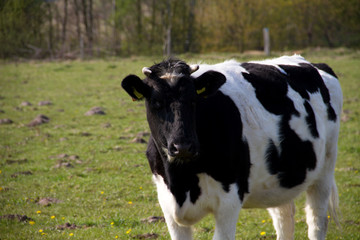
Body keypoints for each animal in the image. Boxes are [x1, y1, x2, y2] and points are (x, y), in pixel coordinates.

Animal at [121, 55, 344, 240]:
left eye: (194, 100)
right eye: (156, 102)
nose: (182, 146)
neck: (182, 181)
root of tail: (314, 64)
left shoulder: (229, 202)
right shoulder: (168, 205)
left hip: (325, 170)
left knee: (317, 222)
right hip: (279, 181)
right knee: (285, 219)